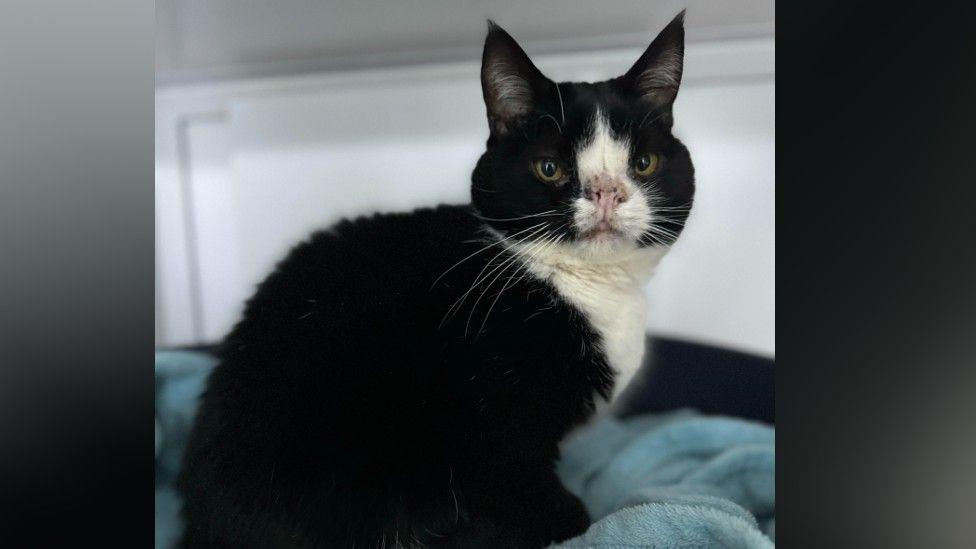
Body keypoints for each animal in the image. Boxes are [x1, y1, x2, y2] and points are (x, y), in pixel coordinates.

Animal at [175, 12, 692, 548]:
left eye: (644, 163)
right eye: (549, 168)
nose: (607, 192)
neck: (591, 287)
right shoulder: (497, 430)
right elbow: (531, 490)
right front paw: (570, 516)